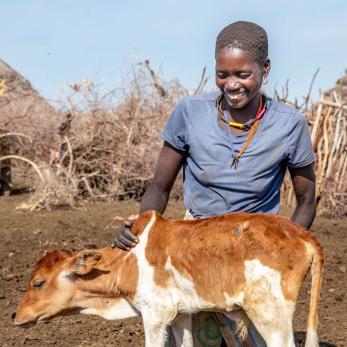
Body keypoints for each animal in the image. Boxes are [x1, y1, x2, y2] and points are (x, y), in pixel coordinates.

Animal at [13, 211, 324, 346]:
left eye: (38, 282)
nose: (16, 315)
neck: (127, 262)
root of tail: (299, 233)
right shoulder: (180, 316)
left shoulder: (155, 316)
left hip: (270, 315)